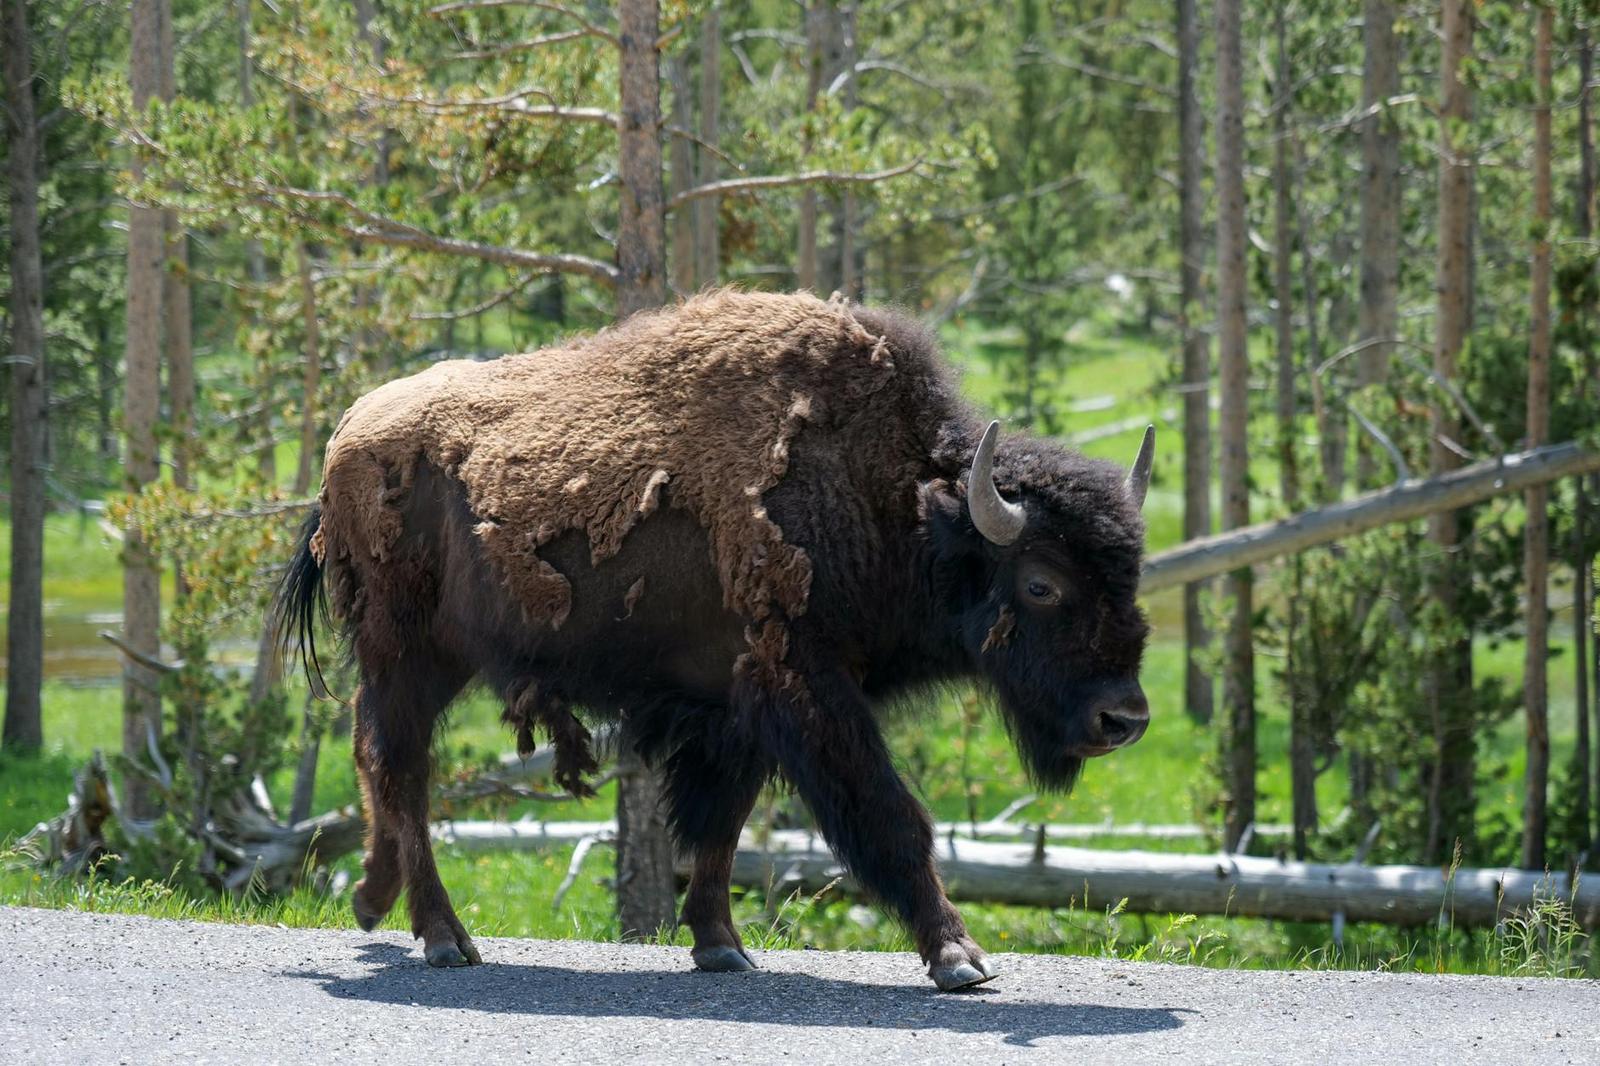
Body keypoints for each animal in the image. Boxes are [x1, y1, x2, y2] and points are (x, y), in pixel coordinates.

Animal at [277, 290, 1152, 990]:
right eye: (1041, 582)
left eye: (1131, 572)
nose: (1126, 719)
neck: (897, 502)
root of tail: (347, 435)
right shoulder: (805, 687)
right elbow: (891, 815)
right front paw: (959, 959)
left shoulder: (738, 708)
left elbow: (720, 824)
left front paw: (721, 946)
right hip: (409, 654)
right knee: (404, 771)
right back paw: (444, 938)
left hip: (419, 664)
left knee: (371, 753)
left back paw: (371, 898)